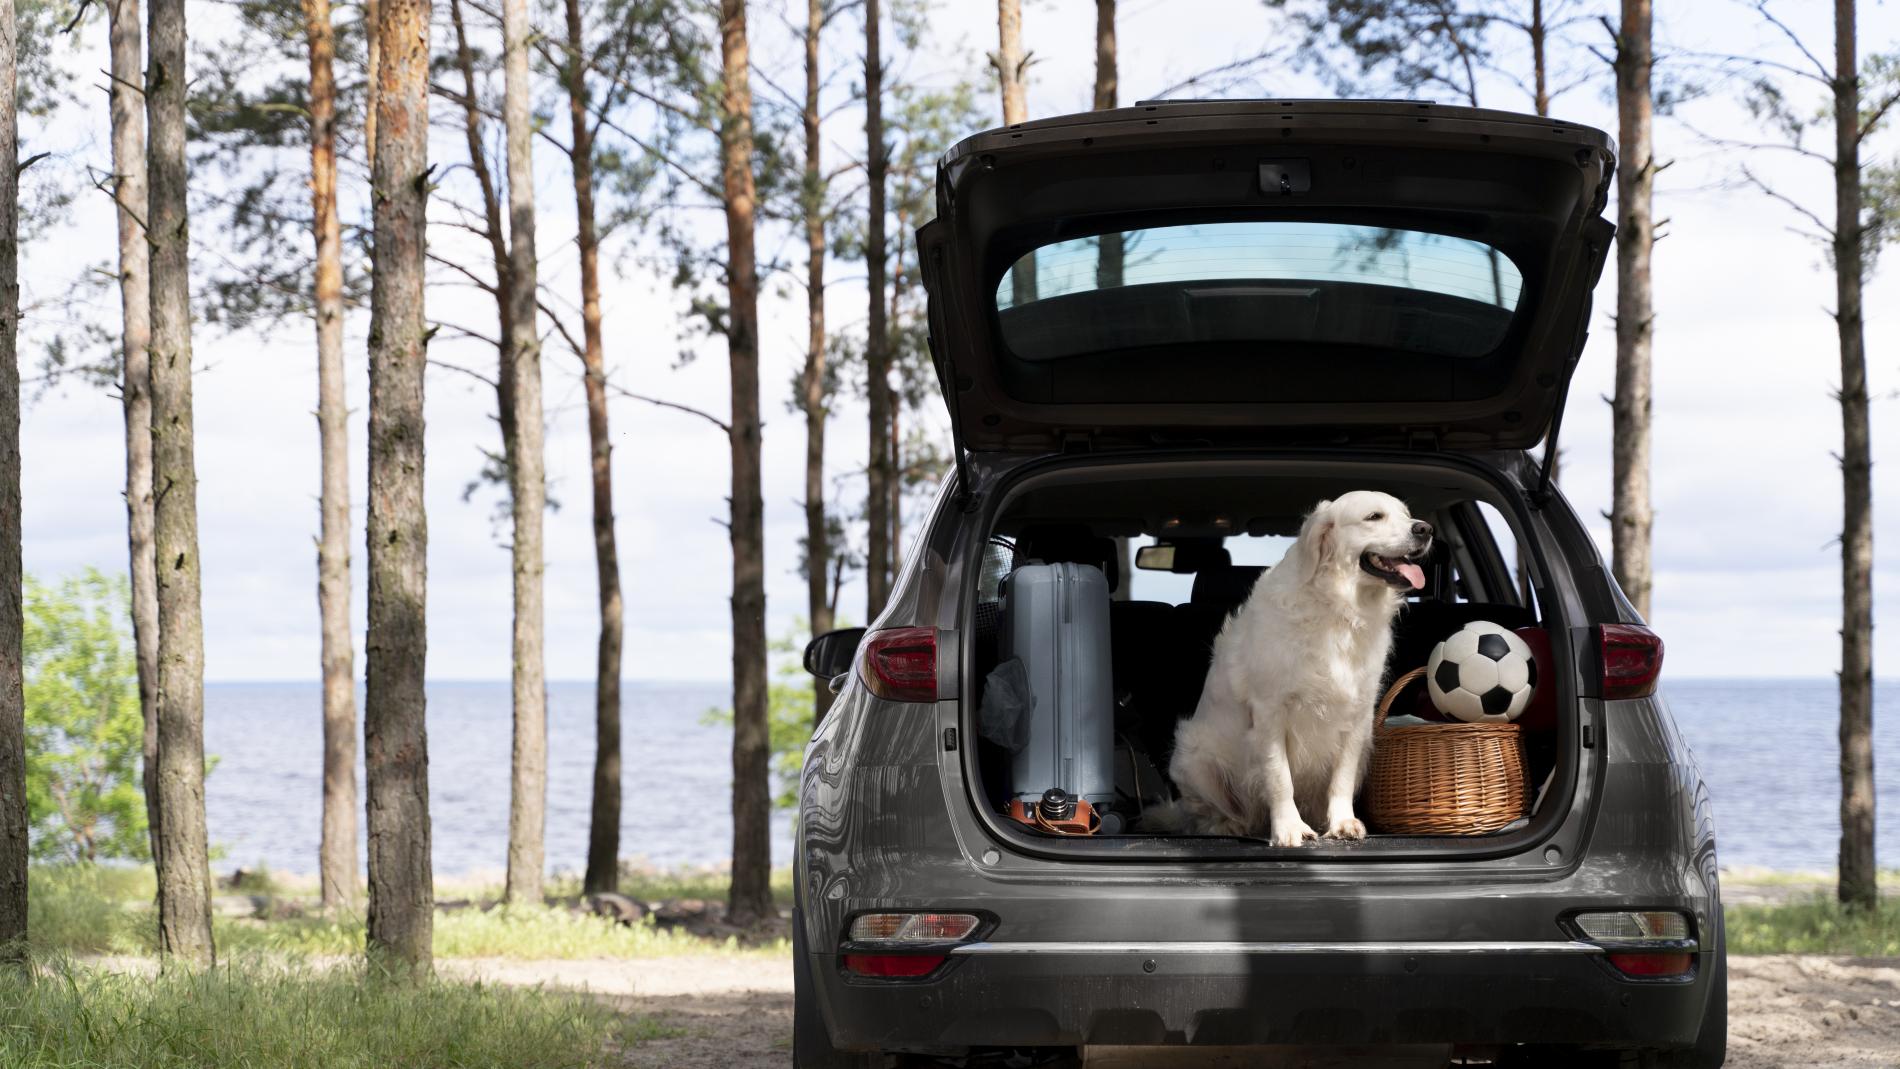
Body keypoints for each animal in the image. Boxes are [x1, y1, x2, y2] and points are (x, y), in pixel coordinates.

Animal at [1155, 489, 1436, 850]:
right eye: (1374, 517)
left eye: (1406, 514)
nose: (1425, 529)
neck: (1339, 609)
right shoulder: (1270, 711)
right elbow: (1279, 778)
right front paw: (1289, 828)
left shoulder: (1358, 712)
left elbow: (1342, 778)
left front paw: (1342, 822)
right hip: (1193, 757)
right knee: (1208, 815)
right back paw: (1227, 825)